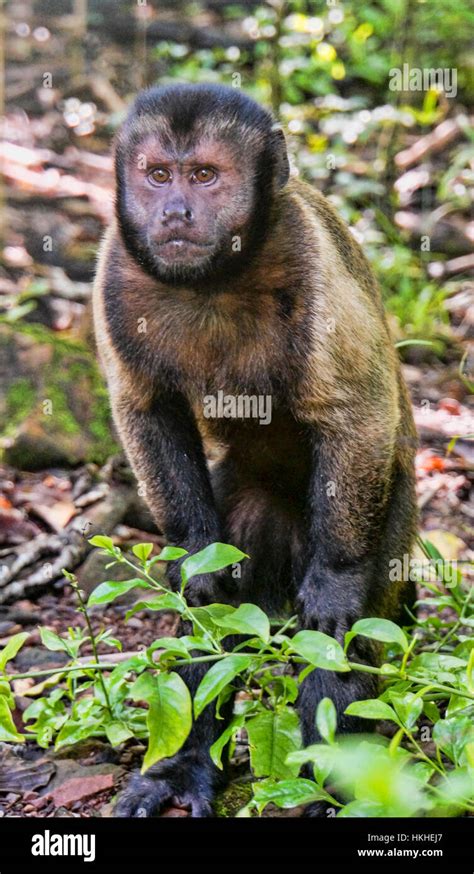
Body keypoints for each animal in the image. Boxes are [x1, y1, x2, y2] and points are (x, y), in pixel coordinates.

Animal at [92, 85, 418, 816]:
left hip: (396, 517)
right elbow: (147, 413)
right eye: (159, 175)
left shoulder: (311, 259)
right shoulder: (113, 269)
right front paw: (193, 558)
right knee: (216, 609)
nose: (175, 212)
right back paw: (183, 766)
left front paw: (336, 580)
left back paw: (329, 790)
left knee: (345, 636)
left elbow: (357, 414)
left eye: (205, 176)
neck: (214, 278)